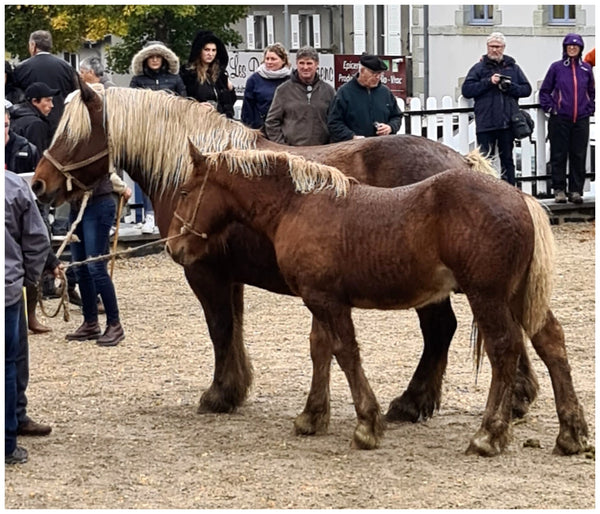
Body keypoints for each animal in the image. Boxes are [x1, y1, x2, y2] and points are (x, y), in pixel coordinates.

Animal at [31, 82, 540, 420]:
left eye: (71, 134)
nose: (39, 184)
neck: (201, 174)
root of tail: (460, 161)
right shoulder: (229, 275)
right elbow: (233, 329)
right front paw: (234, 389)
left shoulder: (205, 272)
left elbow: (219, 330)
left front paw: (220, 394)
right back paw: (511, 397)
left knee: (443, 331)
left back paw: (413, 402)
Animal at [166, 143, 588, 452]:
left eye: (184, 192)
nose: (173, 246)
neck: (299, 205)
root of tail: (522, 198)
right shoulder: (319, 299)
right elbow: (321, 349)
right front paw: (312, 417)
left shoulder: (326, 300)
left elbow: (346, 353)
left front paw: (367, 424)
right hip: (517, 296)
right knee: (550, 342)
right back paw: (572, 433)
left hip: (487, 296)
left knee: (503, 350)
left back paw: (488, 434)